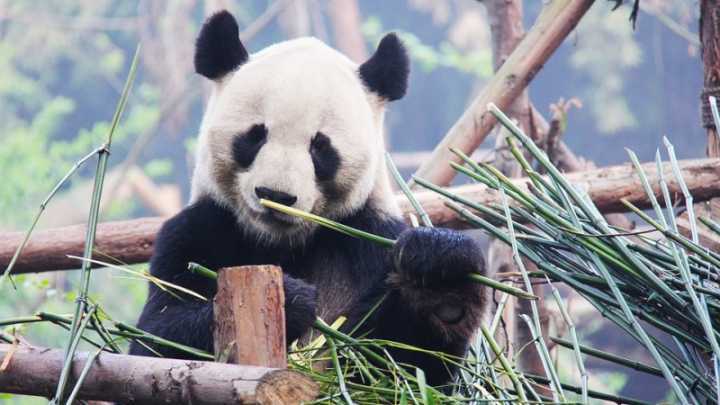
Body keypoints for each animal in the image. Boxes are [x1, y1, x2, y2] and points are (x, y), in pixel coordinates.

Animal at [131, 10, 490, 386]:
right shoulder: (197, 230)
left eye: (320, 147)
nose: (274, 195)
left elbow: (403, 367)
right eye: (255, 136)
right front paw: (291, 300)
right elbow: (155, 339)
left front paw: (440, 275)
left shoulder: (370, 237)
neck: (282, 244)